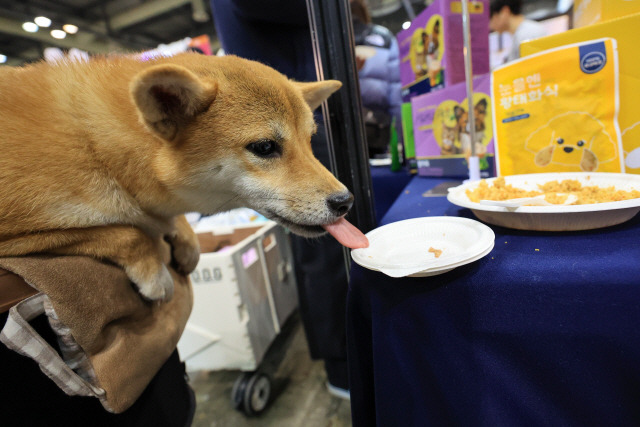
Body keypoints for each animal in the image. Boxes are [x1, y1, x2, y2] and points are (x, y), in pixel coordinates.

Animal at [0, 52, 368, 300]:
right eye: (265, 147)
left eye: (310, 140)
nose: (345, 201)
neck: (98, 148)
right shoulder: (18, 236)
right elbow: (126, 233)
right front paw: (155, 273)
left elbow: (172, 223)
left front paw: (187, 243)